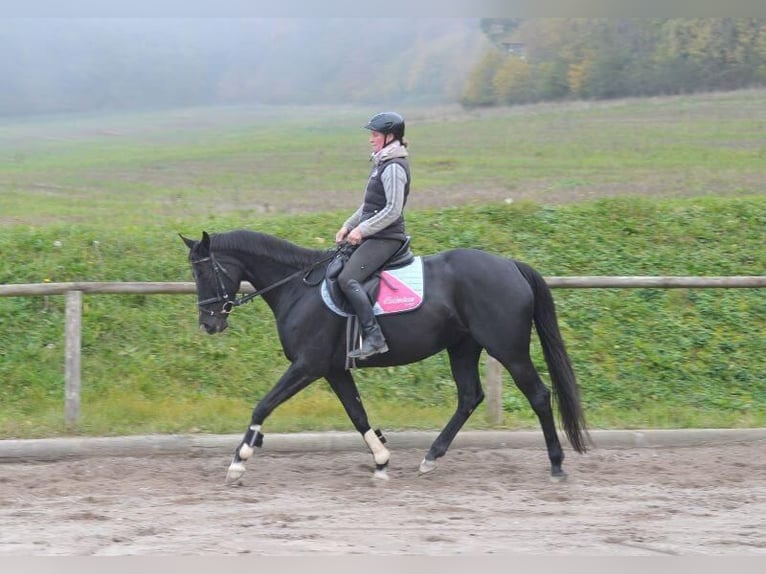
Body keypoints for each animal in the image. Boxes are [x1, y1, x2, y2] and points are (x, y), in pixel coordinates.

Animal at [183, 232, 592, 484]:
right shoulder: (333, 370)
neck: (298, 288)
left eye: (205, 271)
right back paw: (431, 457)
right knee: (469, 397)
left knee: (538, 395)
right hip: (462, 347)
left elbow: (263, 405)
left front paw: (239, 460)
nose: (208, 323)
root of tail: (510, 265)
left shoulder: (308, 365)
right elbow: (357, 413)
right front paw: (381, 460)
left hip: (508, 349)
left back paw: (556, 464)